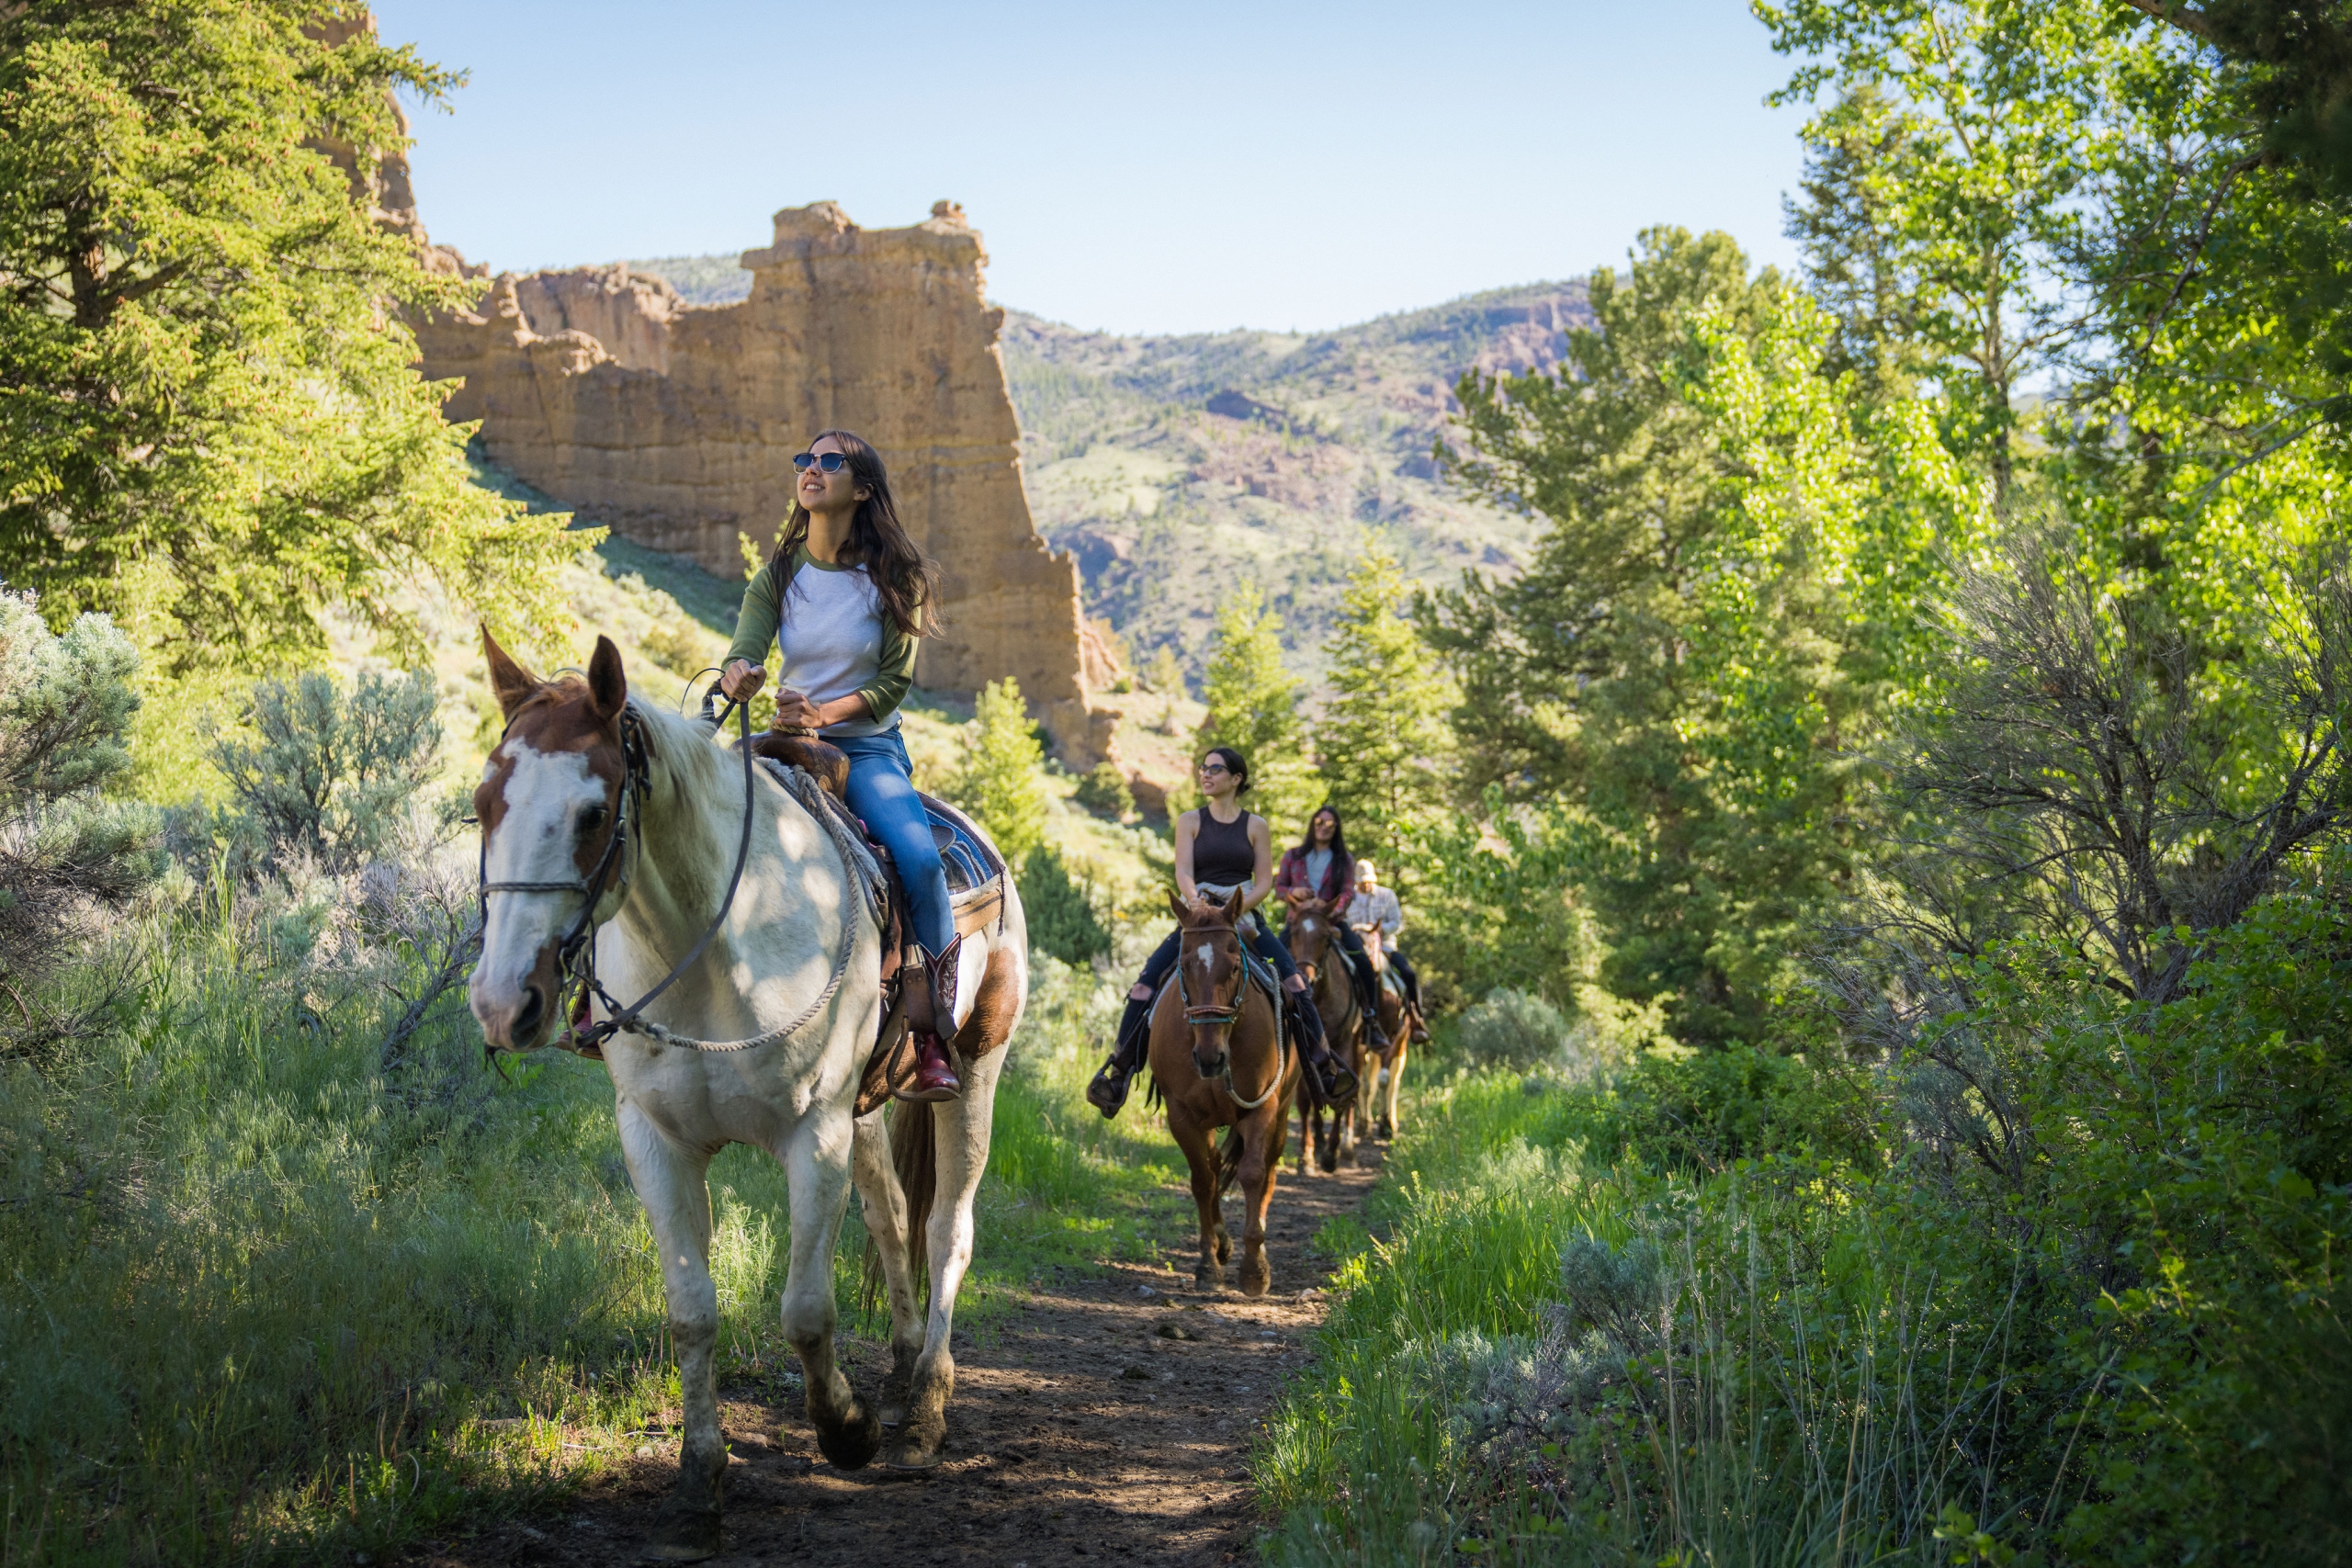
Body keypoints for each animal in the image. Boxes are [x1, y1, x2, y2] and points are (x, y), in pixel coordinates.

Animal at [470, 629, 1030, 1561]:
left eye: (592, 812)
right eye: (484, 803)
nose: (502, 1001)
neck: (715, 943)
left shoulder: (814, 1135)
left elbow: (805, 1309)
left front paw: (845, 1430)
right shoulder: (655, 1140)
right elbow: (692, 1312)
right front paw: (699, 1484)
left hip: (972, 1076)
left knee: (948, 1228)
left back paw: (921, 1414)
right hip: (867, 1109)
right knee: (889, 1216)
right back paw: (901, 1372)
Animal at [1143, 888, 1298, 1297]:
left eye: (1232, 968)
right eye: (1184, 966)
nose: (1210, 1058)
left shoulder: (1262, 1108)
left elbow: (1253, 1175)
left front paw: (1255, 1270)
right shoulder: (1181, 1115)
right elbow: (1202, 1179)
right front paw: (1208, 1262)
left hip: (1282, 1113)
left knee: (1269, 1172)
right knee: (1213, 1166)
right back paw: (1222, 1244)